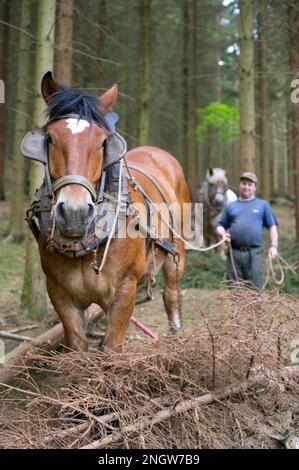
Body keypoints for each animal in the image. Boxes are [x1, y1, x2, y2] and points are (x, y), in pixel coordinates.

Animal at [21, 71, 191, 352]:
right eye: (50, 138)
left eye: (102, 143)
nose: (75, 213)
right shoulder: (59, 293)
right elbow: (77, 347)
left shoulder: (124, 288)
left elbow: (113, 347)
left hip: (176, 254)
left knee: (172, 296)